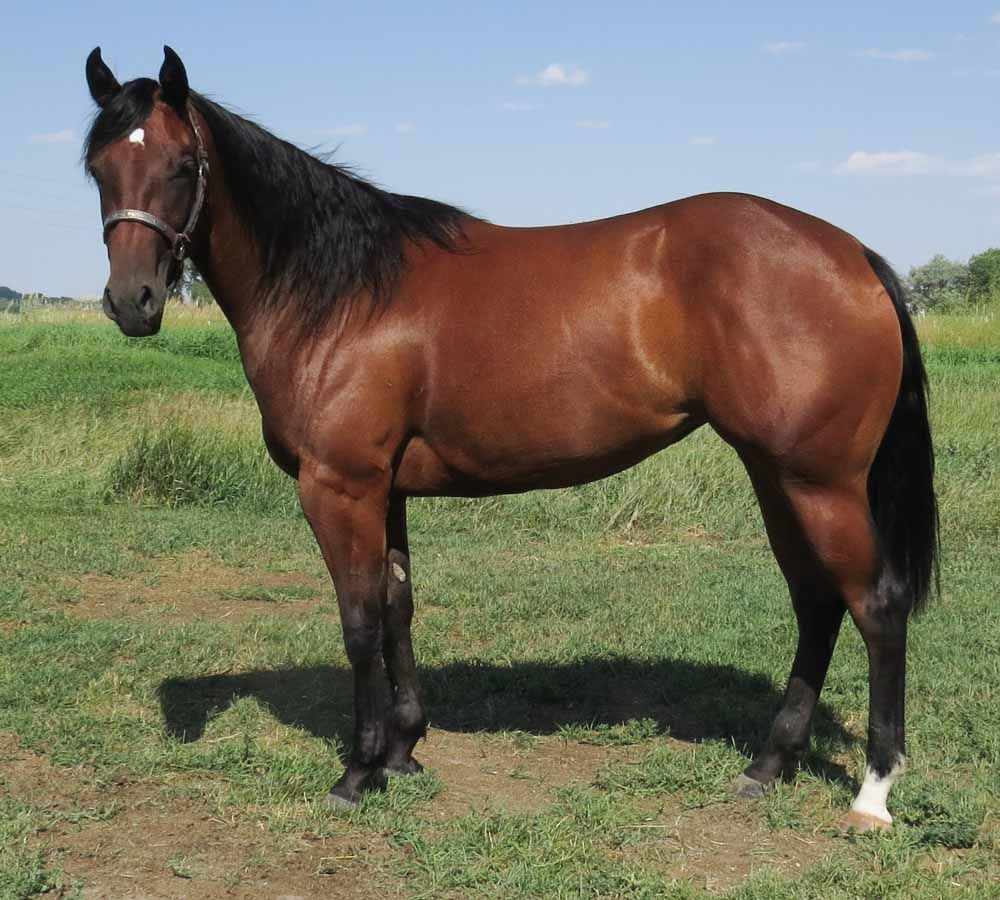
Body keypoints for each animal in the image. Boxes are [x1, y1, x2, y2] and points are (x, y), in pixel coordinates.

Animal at [82, 46, 938, 831]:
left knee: (875, 606)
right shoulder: (387, 490)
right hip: (774, 473)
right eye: (97, 167)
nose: (132, 302)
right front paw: (403, 751)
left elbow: (358, 623)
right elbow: (398, 608)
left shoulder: (339, 486)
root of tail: (853, 255)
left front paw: (358, 771)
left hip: (819, 481)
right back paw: (768, 764)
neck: (342, 293)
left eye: (183, 165)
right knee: (817, 603)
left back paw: (873, 792)